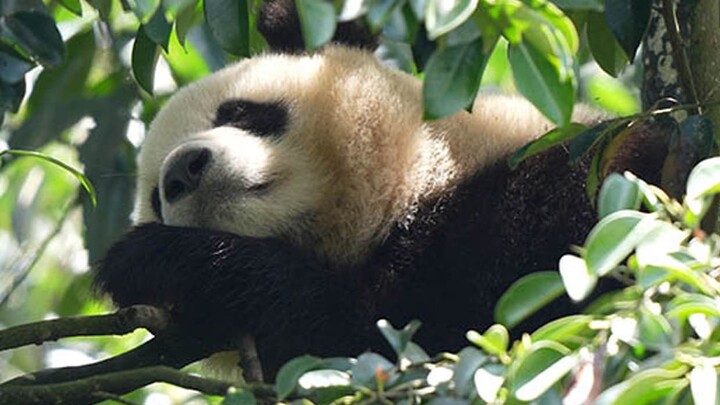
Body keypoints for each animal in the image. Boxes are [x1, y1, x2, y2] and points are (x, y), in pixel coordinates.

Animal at [95, 1, 667, 379]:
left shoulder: (547, 205)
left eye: (240, 112)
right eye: (156, 199)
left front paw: (150, 260)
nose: (184, 170)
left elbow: (382, 324)